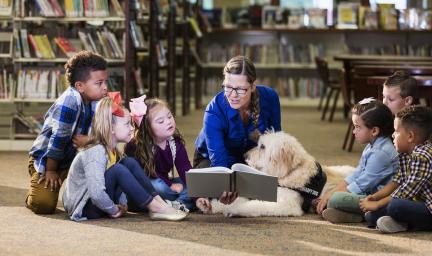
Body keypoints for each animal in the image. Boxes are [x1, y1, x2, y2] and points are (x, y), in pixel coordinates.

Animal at [207, 131, 354, 217]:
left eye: (262, 147)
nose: (245, 155)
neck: (290, 173)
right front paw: (212, 205)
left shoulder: (286, 204)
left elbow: (254, 205)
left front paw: (233, 209)